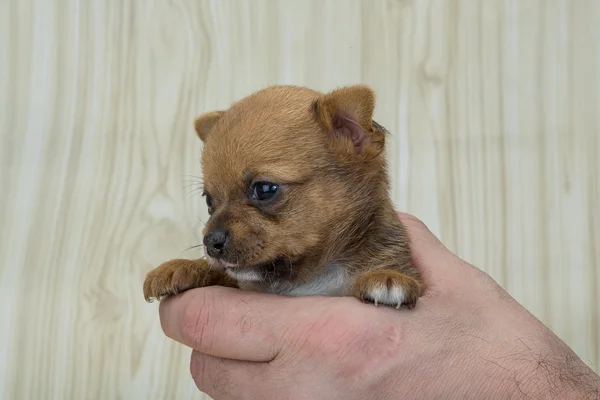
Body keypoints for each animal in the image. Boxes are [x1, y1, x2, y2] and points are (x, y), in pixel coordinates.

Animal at [143, 84, 424, 310]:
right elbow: (225, 275)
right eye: (209, 201)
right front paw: (180, 267)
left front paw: (389, 277)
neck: (311, 278)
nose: (211, 241)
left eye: (265, 189)